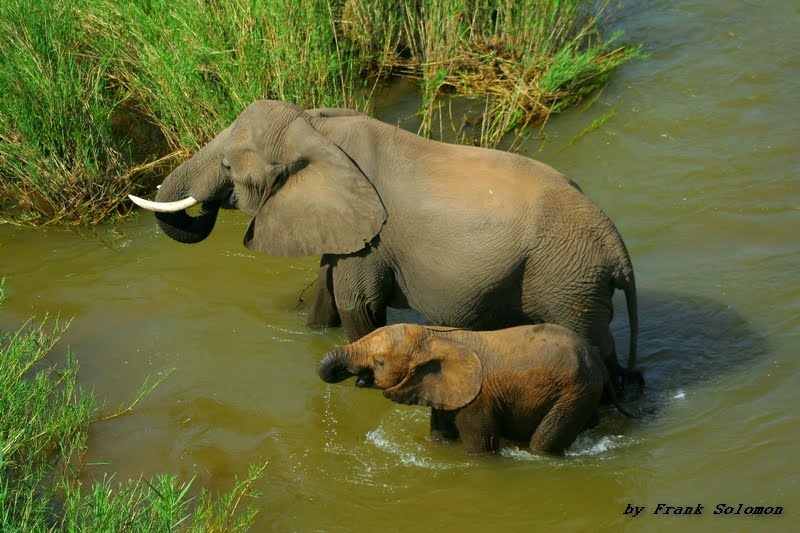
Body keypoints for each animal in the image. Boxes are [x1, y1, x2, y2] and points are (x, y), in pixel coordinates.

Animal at [128, 99, 642, 398]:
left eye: (227, 167)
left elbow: (358, 305)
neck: (317, 128)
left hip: (566, 282)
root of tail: (618, 249)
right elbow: (328, 296)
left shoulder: (373, 239)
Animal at [317, 323, 634, 455]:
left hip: (575, 392)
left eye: (379, 362)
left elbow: (481, 448)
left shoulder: (478, 399)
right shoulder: (450, 392)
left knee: (543, 444)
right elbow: (440, 437)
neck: (434, 335)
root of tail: (595, 357)